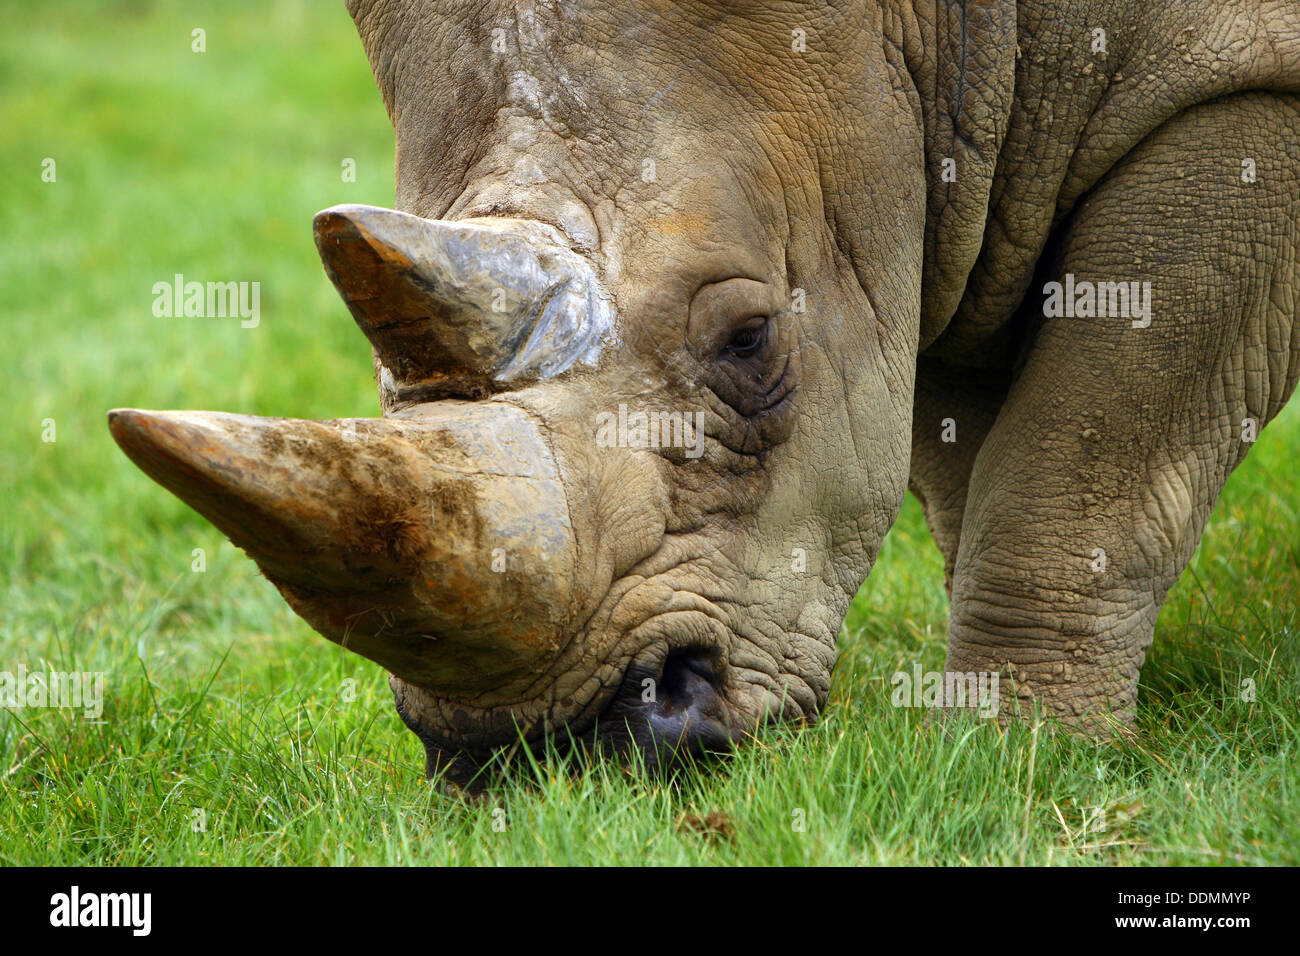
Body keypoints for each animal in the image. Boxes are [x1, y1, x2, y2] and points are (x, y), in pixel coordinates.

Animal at [104, 0, 1300, 785]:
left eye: (749, 341)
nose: (542, 752)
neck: (933, 24)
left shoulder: (1245, 81)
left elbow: (1084, 461)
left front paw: (1017, 760)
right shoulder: (945, 169)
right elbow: (972, 452)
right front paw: (1000, 741)